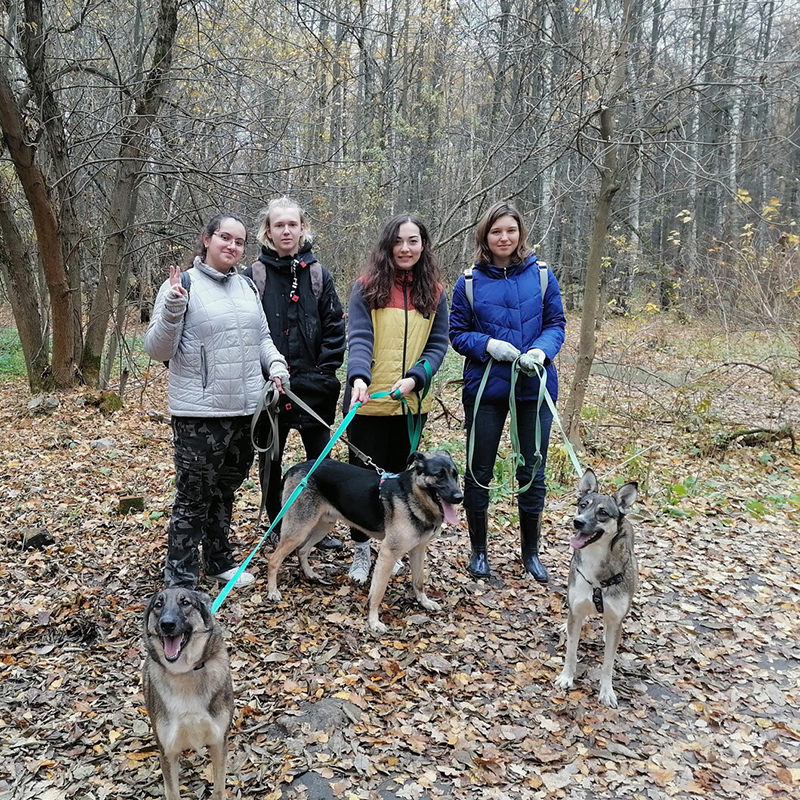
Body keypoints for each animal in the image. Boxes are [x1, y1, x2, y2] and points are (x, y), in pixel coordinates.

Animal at [142, 588, 234, 800]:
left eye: (185, 603)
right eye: (158, 605)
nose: (167, 624)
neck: (184, 672)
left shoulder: (219, 742)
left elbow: (219, 788)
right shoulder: (167, 751)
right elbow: (172, 791)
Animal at [268, 450, 462, 632]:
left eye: (455, 474)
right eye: (439, 475)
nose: (459, 497)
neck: (413, 496)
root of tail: (295, 468)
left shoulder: (418, 550)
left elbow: (419, 580)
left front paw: (424, 601)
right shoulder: (388, 553)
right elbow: (378, 591)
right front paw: (374, 621)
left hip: (323, 526)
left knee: (302, 550)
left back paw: (310, 574)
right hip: (299, 531)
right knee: (274, 559)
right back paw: (272, 591)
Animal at [556, 468, 636, 708]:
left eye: (602, 512)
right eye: (583, 505)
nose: (577, 522)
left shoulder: (615, 618)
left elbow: (608, 663)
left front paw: (607, 692)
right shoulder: (577, 609)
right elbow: (571, 651)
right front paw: (566, 677)